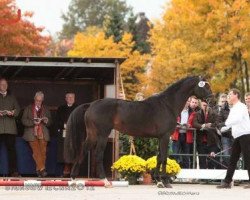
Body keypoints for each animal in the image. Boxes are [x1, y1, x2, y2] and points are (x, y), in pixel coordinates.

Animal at [64, 75, 213, 188]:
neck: (167, 105)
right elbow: (164, 158)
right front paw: (165, 182)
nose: (211, 100)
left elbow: (159, 157)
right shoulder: (165, 137)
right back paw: (105, 181)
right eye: (205, 86)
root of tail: (91, 104)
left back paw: (73, 179)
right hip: (102, 134)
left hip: (92, 135)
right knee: (98, 154)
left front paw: (158, 181)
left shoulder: (160, 138)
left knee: (83, 150)